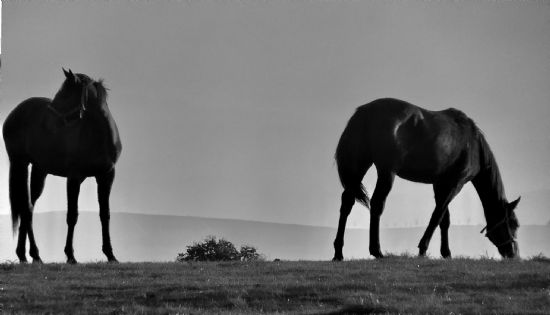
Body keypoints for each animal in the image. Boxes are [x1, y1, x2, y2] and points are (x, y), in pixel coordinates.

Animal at [2, 69, 122, 264]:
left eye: (65, 94)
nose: (47, 123)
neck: (98, 136)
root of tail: (14, 114)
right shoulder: (74, 178)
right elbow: (72, 215)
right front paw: (70, 255)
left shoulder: (106, 176)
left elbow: (105, 214)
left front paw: (110, 254)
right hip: (20, 163)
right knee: (26, 209)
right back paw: (33, 254)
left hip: (39, 171)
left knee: (29, 207)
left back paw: (25, 255)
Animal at [332, 99, 520, 262]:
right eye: (513, 224)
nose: (513, 253)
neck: (473, 145)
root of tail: (365, 112)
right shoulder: (455, 184)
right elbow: (436, 216)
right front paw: (423, 249)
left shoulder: (440, 184)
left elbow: (445, 219)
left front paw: (446, 253)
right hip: (386, 172)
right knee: (377, 204)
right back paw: (376, 250)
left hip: (359, 167)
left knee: (347, 203)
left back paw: (338, 252)